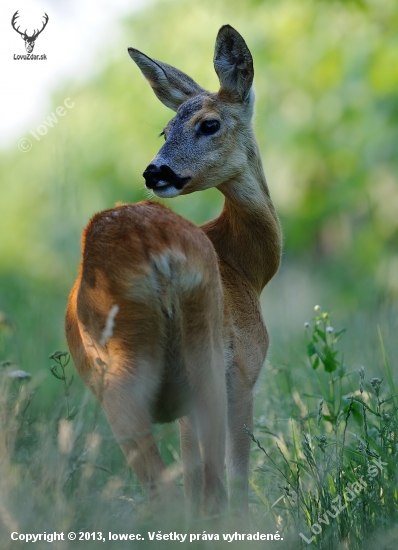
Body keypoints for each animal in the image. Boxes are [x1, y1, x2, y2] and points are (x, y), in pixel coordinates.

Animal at [65, 24, 282, 516]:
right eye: (166, 129)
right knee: (200, 485)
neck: (244, 265)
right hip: (159, 363)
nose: (154, 171)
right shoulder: (244, 367)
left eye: (208, 124)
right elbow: (236, 478)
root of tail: (155, 252)